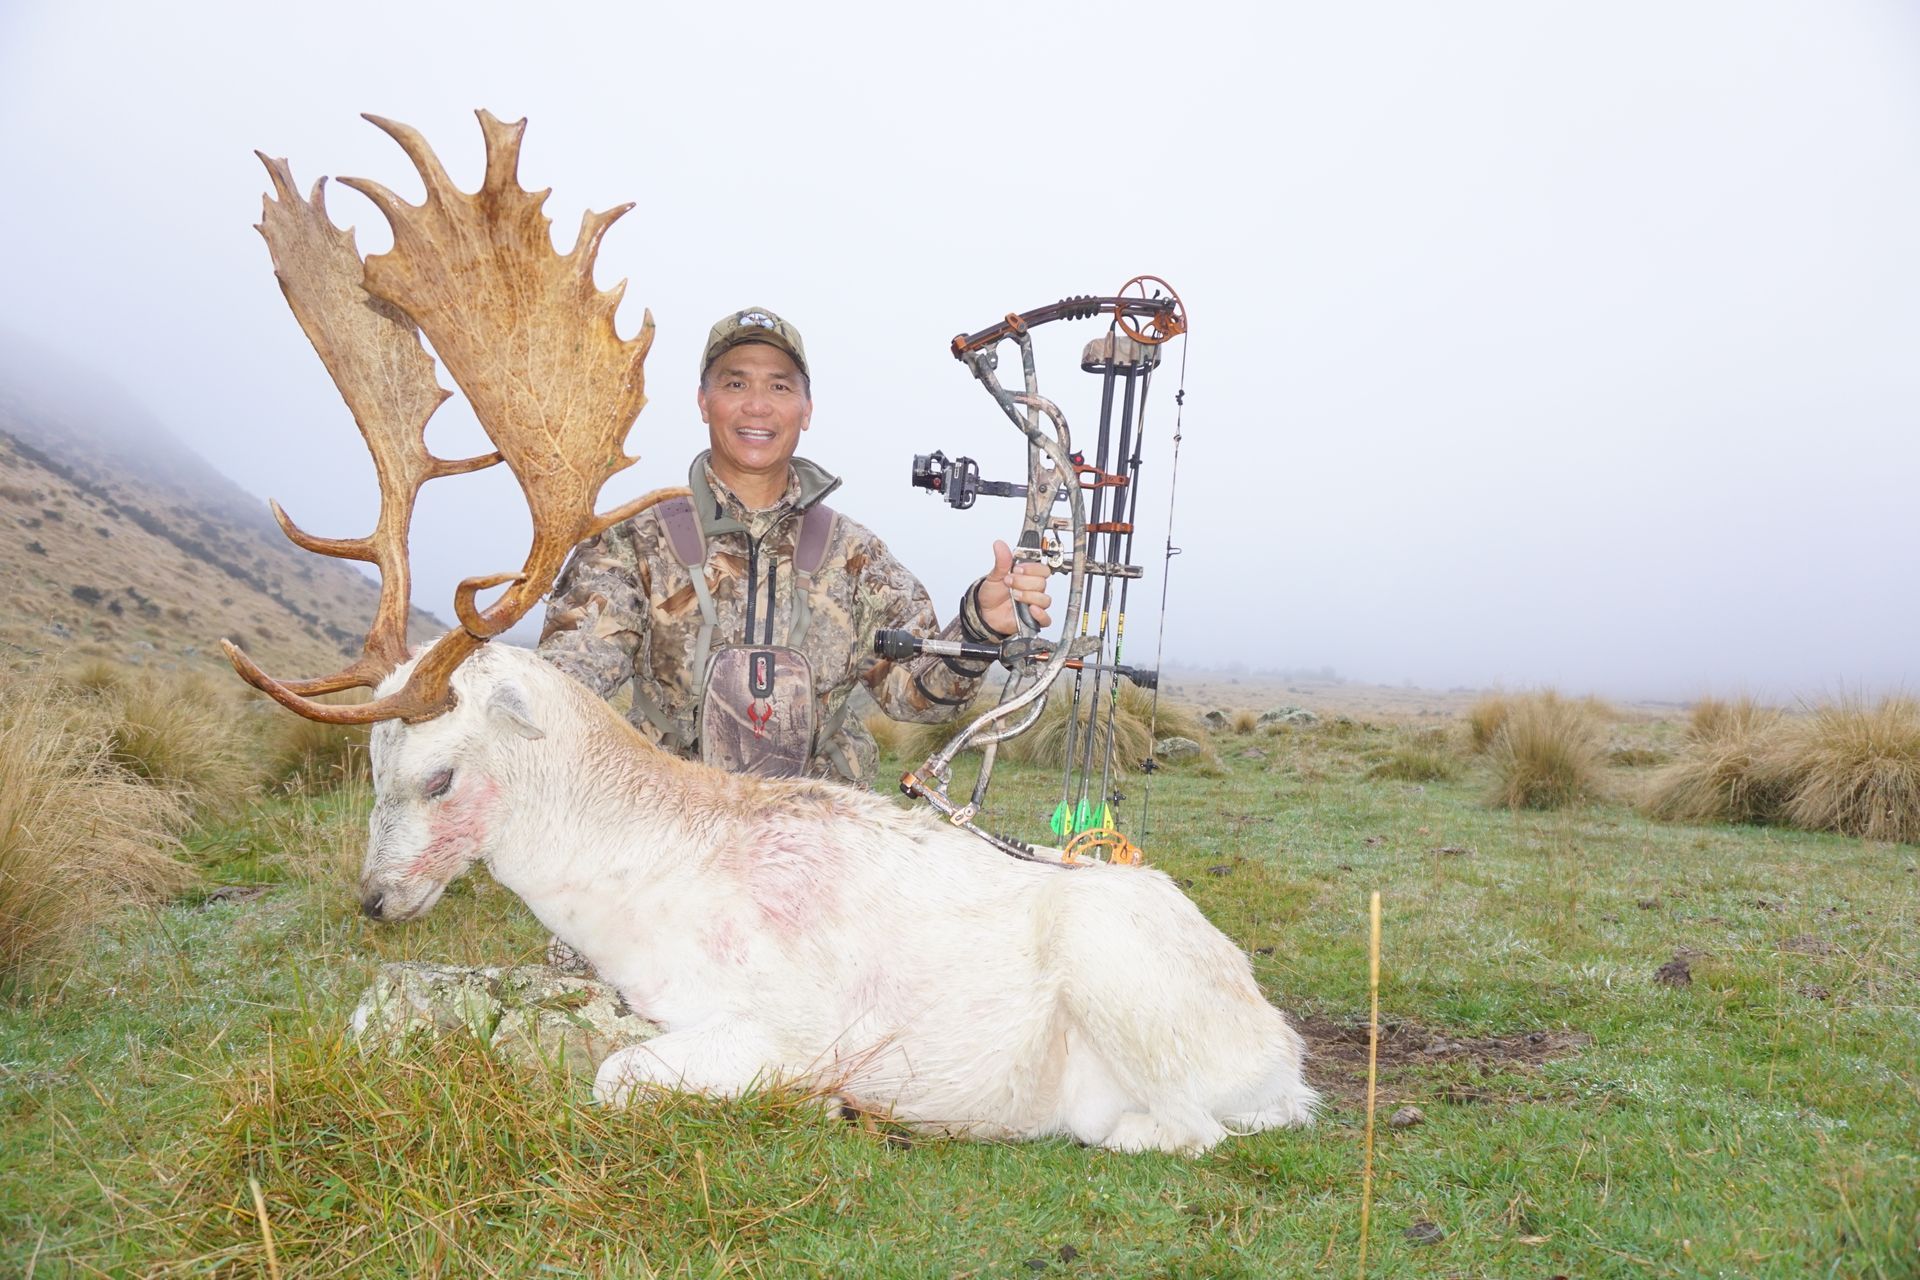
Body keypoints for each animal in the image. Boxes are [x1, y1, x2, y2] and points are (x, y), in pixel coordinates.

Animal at [228, 111, 1318, 1154]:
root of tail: (1282, 1047)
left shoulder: (787, 1022)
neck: (644, 891)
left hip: (1123, 986)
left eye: (441, 775)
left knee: (1187, 1127)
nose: (375, 899)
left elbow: (616, 1076)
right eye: (371, 763)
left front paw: (824, 1102)